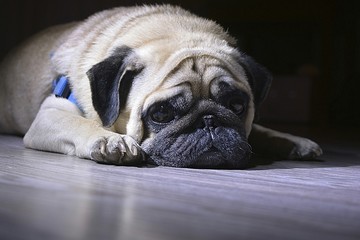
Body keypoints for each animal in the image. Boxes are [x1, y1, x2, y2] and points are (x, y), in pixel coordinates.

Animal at [0, 4, 324, 168]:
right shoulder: (51, 114)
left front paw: (291, 140)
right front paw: (111, 140)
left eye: (237, 106)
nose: (209, 120)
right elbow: (82, 124)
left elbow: (259, 130)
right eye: (161, 114)